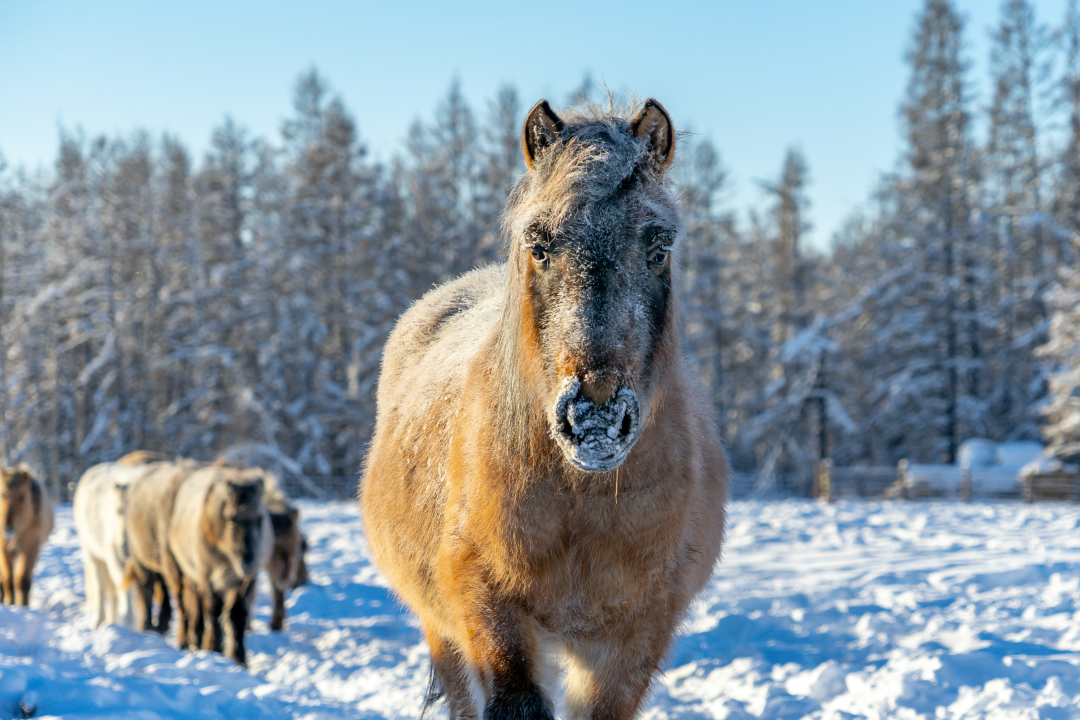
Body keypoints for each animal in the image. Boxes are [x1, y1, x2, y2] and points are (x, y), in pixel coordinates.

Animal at [0, 466, 54, 606]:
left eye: (22, 497)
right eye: (2, 495)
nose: (8, 528)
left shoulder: (29, 548)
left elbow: (22, 580)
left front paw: (22, 605)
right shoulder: (3, 550)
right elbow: (8, 580)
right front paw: (9, 603)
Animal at [361, 98, 728, 719]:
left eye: (659, 247)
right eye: (539, 245)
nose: (595, 419)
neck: (584, 499)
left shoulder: (634, 636)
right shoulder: (490, 606)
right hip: (441, 627)